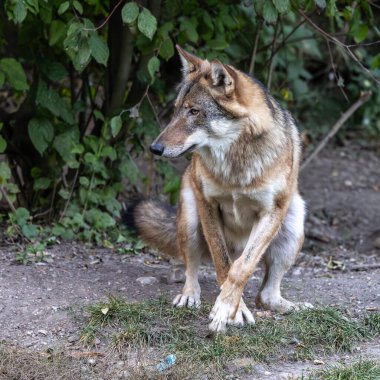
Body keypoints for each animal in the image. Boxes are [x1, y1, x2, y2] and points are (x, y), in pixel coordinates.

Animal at [124, 45, 312, 332]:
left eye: (194, 111)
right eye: (176, 110)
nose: (154, 148)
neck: (235, 165)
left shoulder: (271, 212)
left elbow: (241, 268)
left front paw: (226, 308)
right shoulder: (208, 204)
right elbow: (223, 263)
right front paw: (235, 310)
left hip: (293, 222)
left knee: (266, 295)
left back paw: (294, 307)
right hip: (190, 219)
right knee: (191, 268)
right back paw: (189, 296)